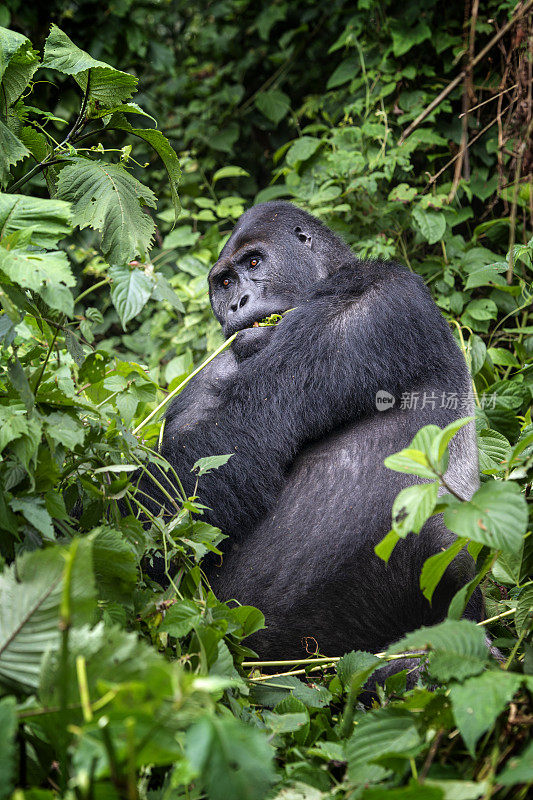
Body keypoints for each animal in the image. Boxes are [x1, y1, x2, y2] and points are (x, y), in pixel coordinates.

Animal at [139, 203, 480, 664]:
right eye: (224, 283)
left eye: (254, 263)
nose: (238, 302)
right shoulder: (211, 369)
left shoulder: (376, 298)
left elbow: (233, 445)